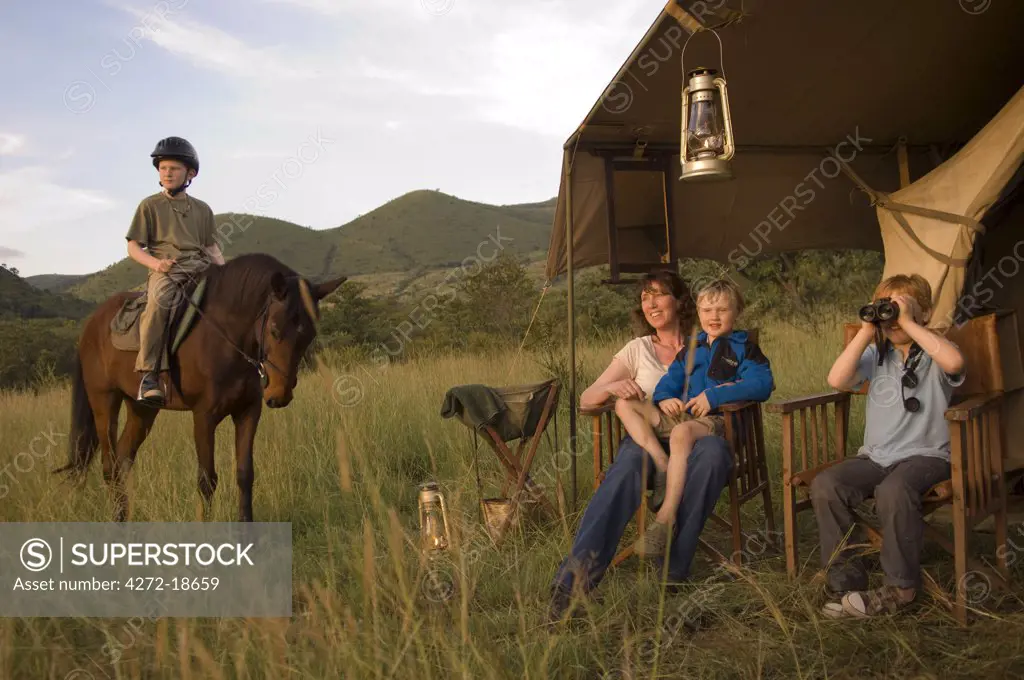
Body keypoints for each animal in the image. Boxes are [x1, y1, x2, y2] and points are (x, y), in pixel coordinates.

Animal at [52, 251, 348, 522]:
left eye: (309, 334)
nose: (279, 394)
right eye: (274, 330)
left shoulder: (248, 411)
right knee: (109, 466)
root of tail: (90, 325)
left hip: (141, 409)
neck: (227, 338)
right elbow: (207, 480)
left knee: (124, 459)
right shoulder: (203, 416)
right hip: (104, 402)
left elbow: (245, 474)